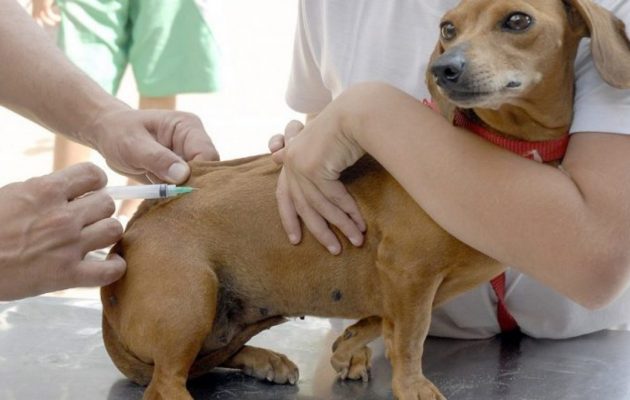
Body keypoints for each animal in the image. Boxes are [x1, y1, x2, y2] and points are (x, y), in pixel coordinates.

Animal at [101, 1, 628, 398]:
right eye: (448, 27)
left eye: (518, 20)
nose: (443, 68)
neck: (499, 145)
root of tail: (137, 223)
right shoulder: (408, 271)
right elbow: (410, 337)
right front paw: (412, 385)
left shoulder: (409, 285)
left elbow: (385, 321)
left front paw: (350, 345)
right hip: (192, 301)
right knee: (168, 381)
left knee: (211, 359)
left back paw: (264, 359)